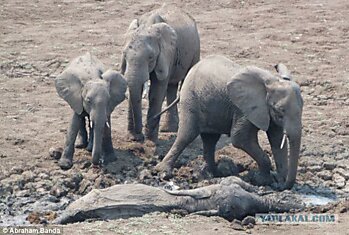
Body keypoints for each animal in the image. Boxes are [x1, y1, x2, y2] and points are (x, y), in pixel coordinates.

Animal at [121, 3, 200, 142]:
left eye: (151, 57)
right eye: (124, 54)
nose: (139, 136)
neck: (147, 26)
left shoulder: (166, 54)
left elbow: (157, 90)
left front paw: (150, 140)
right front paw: (133, 138)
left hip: (195, 50)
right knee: (172, 86)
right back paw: (168, 129)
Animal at [156, 54, 304, 189]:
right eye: (280, 111)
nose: (281, 185)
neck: (271, 81)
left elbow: (276, 140)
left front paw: (277, 180)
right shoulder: (243, 109)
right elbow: (240, 139)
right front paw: (262, 181)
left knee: (210, 139)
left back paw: (212, 174)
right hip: (190, 99)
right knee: (187, 135)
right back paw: (163, 172)